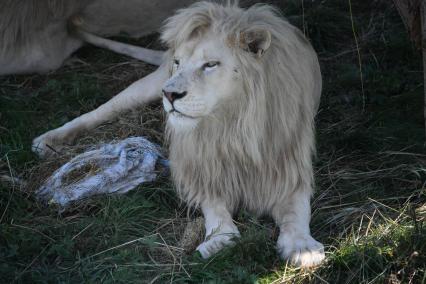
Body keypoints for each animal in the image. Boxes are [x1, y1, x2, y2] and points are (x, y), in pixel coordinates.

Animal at [33, 1, 324, 266]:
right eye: (178, 62)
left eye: (210, 64)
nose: (170, 94)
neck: (231, 124)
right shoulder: (199, 161)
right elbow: (213, 204)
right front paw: (220, 238)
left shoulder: (288, 164)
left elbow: (298, 210)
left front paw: (302, 248)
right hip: (150, 84)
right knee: (105, 108)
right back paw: (48, 140)